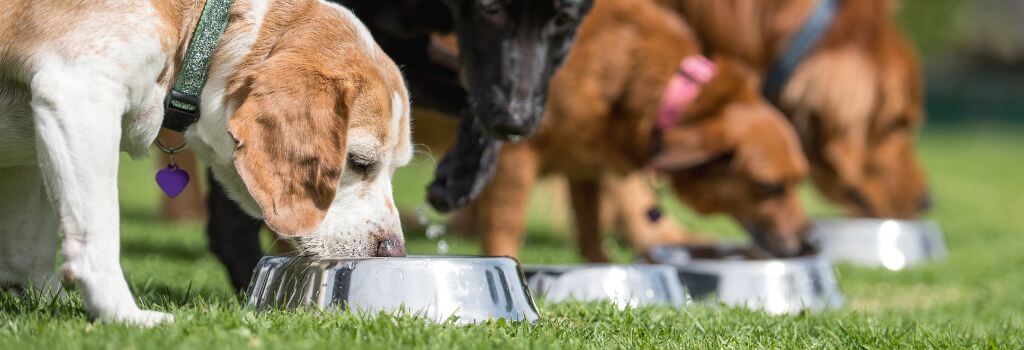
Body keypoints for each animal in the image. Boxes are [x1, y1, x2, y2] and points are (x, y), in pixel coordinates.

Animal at [3, 0, 415, 325]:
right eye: (358, 162)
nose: (395, 251)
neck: (206, 28)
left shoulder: (35, 145)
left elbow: (30, 245)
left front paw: (45, 300)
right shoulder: (79, 93)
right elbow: (98, 234)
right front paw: (121, 315)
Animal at [475, 0, 811, 259]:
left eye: (799, 180)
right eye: (769, 187)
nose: (813, 241)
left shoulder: (583, 165)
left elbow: (590, 231)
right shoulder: (515, 154)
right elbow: (506, 227)